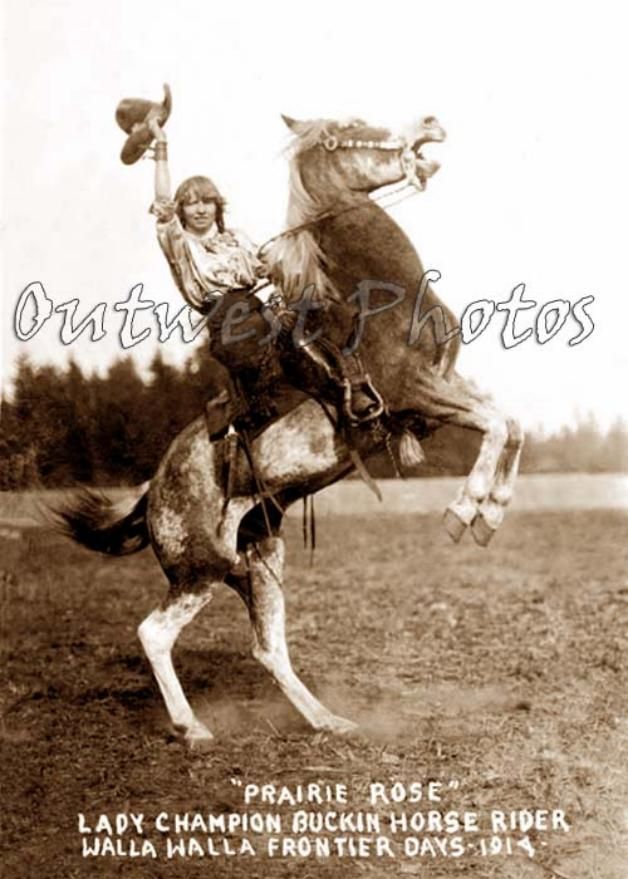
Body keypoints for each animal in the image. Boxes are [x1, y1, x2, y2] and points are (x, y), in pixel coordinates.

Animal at [59, 113, 524, 748]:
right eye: (351, 126)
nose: (431, 124)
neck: (376, 303)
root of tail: (153, 488)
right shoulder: (416, 392)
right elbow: (498, 426)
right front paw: (466, 512)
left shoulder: (440, 393)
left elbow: (512, 425)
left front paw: (492, 513)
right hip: (199, 570)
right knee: (154, 632)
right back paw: (192, 727)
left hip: (259, 556)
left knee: (267, 647)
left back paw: (328, 719)